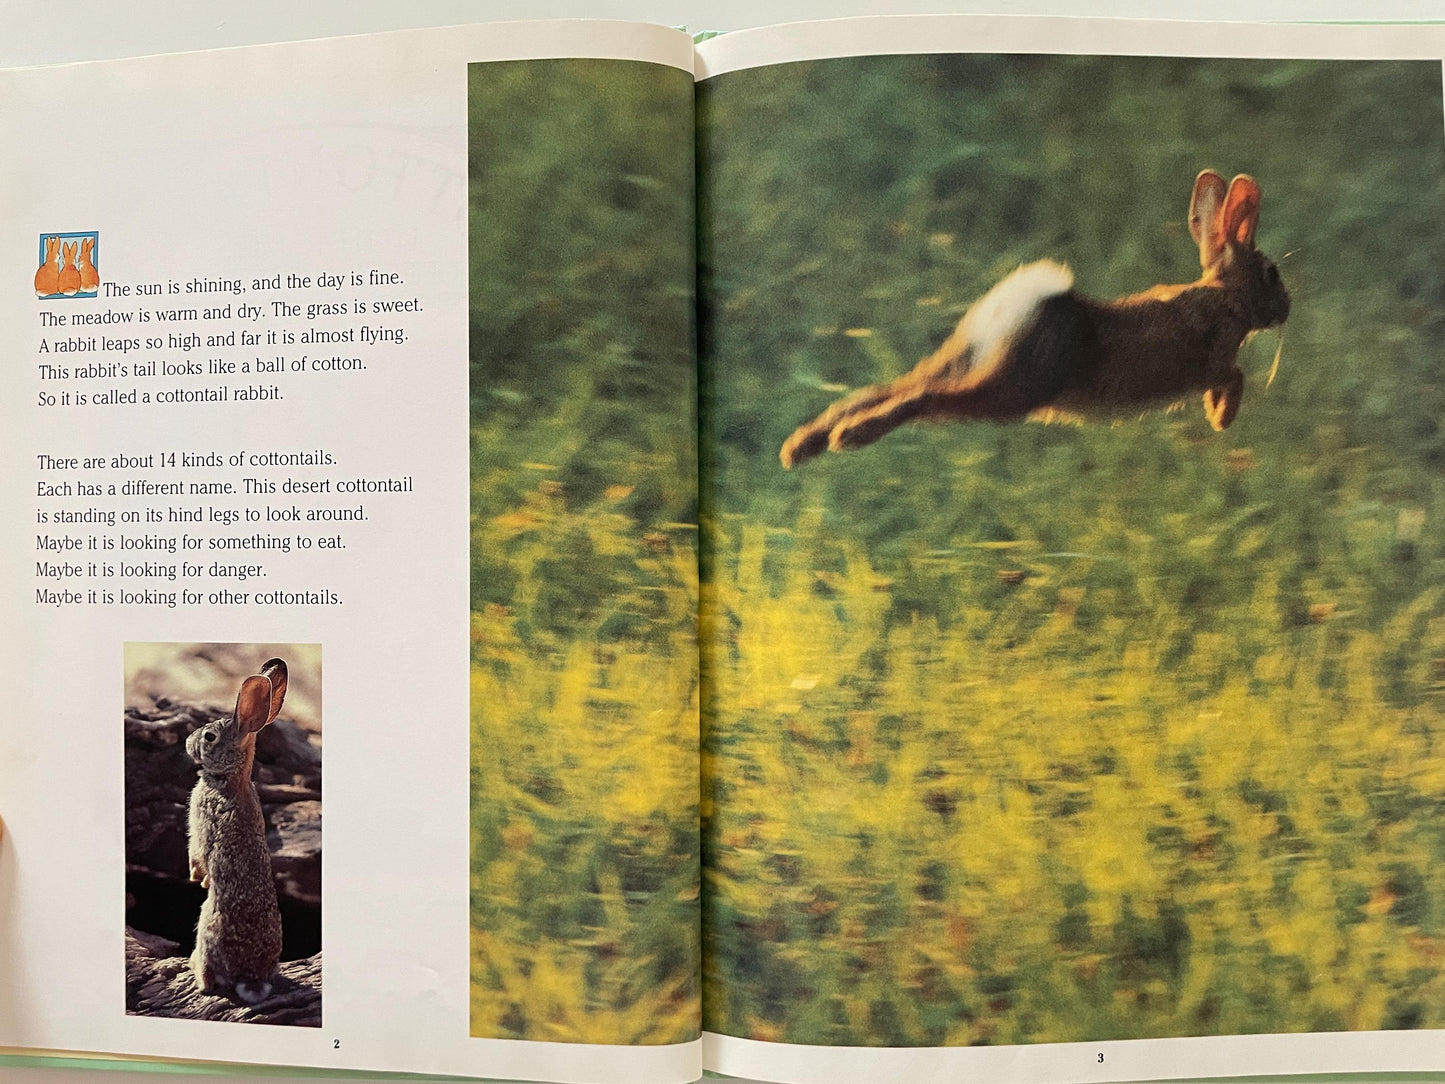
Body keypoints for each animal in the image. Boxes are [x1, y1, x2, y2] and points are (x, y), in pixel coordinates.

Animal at [186, 657, 288, 1005]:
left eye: (210, 737)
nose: (188, 742)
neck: (231, 778)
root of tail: (250, 977)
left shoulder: (202, 826)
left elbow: (198, 855)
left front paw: (197, 878)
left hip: (206, 925)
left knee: (208, 977)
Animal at [780, 170, 1290, 469]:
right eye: (1272, 273)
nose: (1287, 307)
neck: (1226, 297)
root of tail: (1022, 304)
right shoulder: (1213, 359)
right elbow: (1235, 375)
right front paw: (1220, 417)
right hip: (1015, 388)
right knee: (924, 398)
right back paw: (849, 438)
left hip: (966, 358)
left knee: (885, 389)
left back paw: (804, 445)